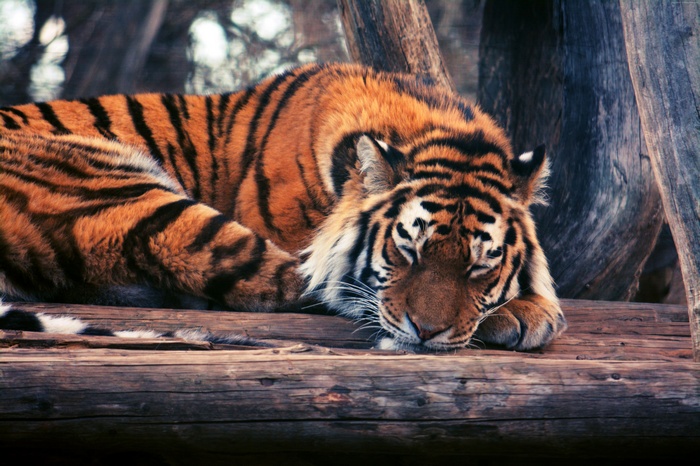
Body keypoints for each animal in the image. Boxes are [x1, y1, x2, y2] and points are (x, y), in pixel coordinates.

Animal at [0, 63, 566, 351]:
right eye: (407, 250)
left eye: (480, 264)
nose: (426, 334)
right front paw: (527, 312)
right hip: (128, 193)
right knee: (286, 285)